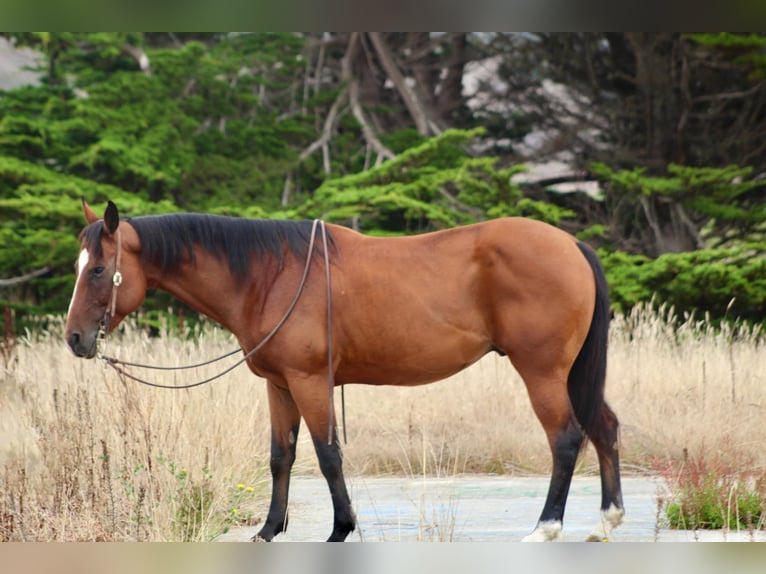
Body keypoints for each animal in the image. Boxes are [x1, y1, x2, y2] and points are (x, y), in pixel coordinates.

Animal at [64, 199, 624, 542]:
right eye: (78, 266)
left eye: (99, 269)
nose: (75, 339)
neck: (270, 277)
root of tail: (571, 245)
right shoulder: (280, 386)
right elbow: (282, 457)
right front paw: (269, 530)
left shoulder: (311, 382)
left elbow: (328, 454)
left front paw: (340, 528)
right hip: (572, 374)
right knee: (604, 428)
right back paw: (606, 521)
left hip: (543, 373)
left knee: (566, 439)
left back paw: (546, 527)